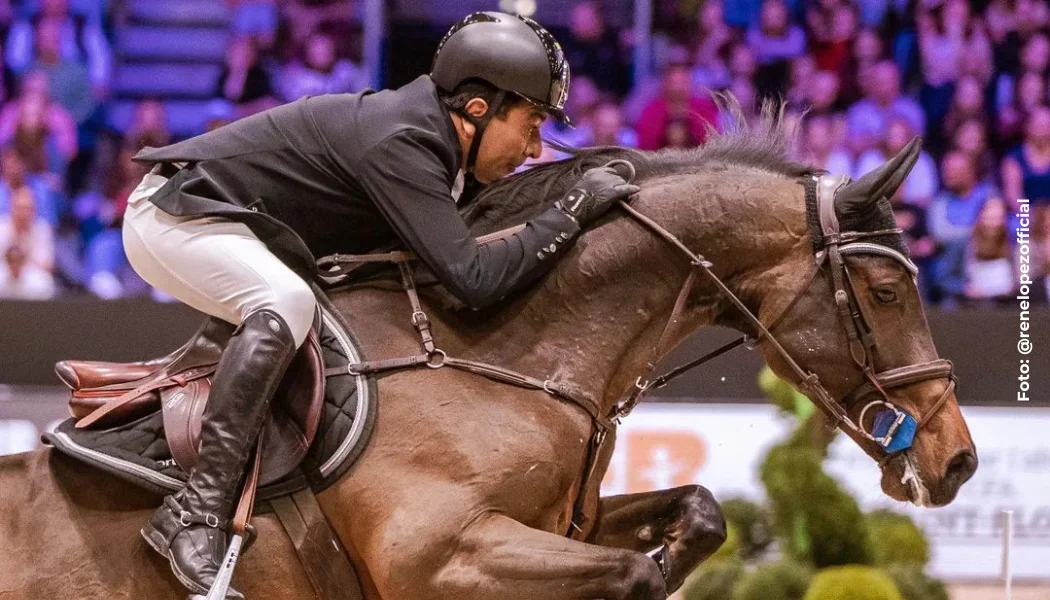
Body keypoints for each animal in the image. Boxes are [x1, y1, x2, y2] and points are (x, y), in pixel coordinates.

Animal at [0, 109, 976, 599]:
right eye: (886, 293)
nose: (956, 459)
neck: (513, 353)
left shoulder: (558, 525)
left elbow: (699, 512)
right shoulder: (439, 554)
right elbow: (632, 574)